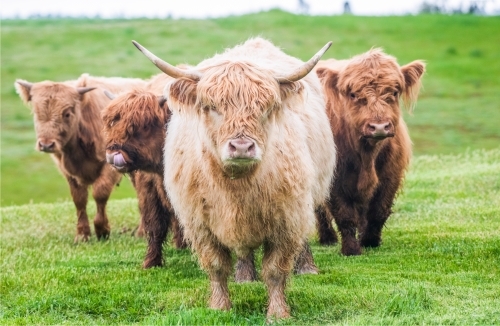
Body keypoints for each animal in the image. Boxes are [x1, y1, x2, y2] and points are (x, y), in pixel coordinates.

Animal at [14, 74, 146, 242]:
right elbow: (79, 199)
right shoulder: (68, 172)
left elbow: (100, 193)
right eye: (37, 113)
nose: (46, 144)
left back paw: (142, 232)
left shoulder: (110, 165)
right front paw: (82, 234)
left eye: (67, 113)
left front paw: (102, 230)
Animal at [101, 88, 186, 268]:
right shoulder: (149, 191)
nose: (113, 154)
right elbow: (155, 226)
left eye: (144, 125)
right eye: (113, 123)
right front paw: (151, 262)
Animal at [132, 37, 336, 318]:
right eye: (211, 106)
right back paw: (245, 276)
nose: (241, 147)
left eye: (266, 107)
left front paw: (278, 313)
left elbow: (275, 269)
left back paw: (306, 267)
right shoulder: (199, 223)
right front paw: (219, 307)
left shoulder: (287, 217)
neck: (235, 188)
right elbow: (216, 266)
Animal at [316, 49, 426, 256]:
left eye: (394, 92)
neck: (367, 155)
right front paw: (351, 249)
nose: (379, 127)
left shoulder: (391, 176)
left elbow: (379, 210)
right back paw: (327, 238)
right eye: (352, 94)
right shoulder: (335, 180)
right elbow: (344, 214)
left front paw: (370, 241)